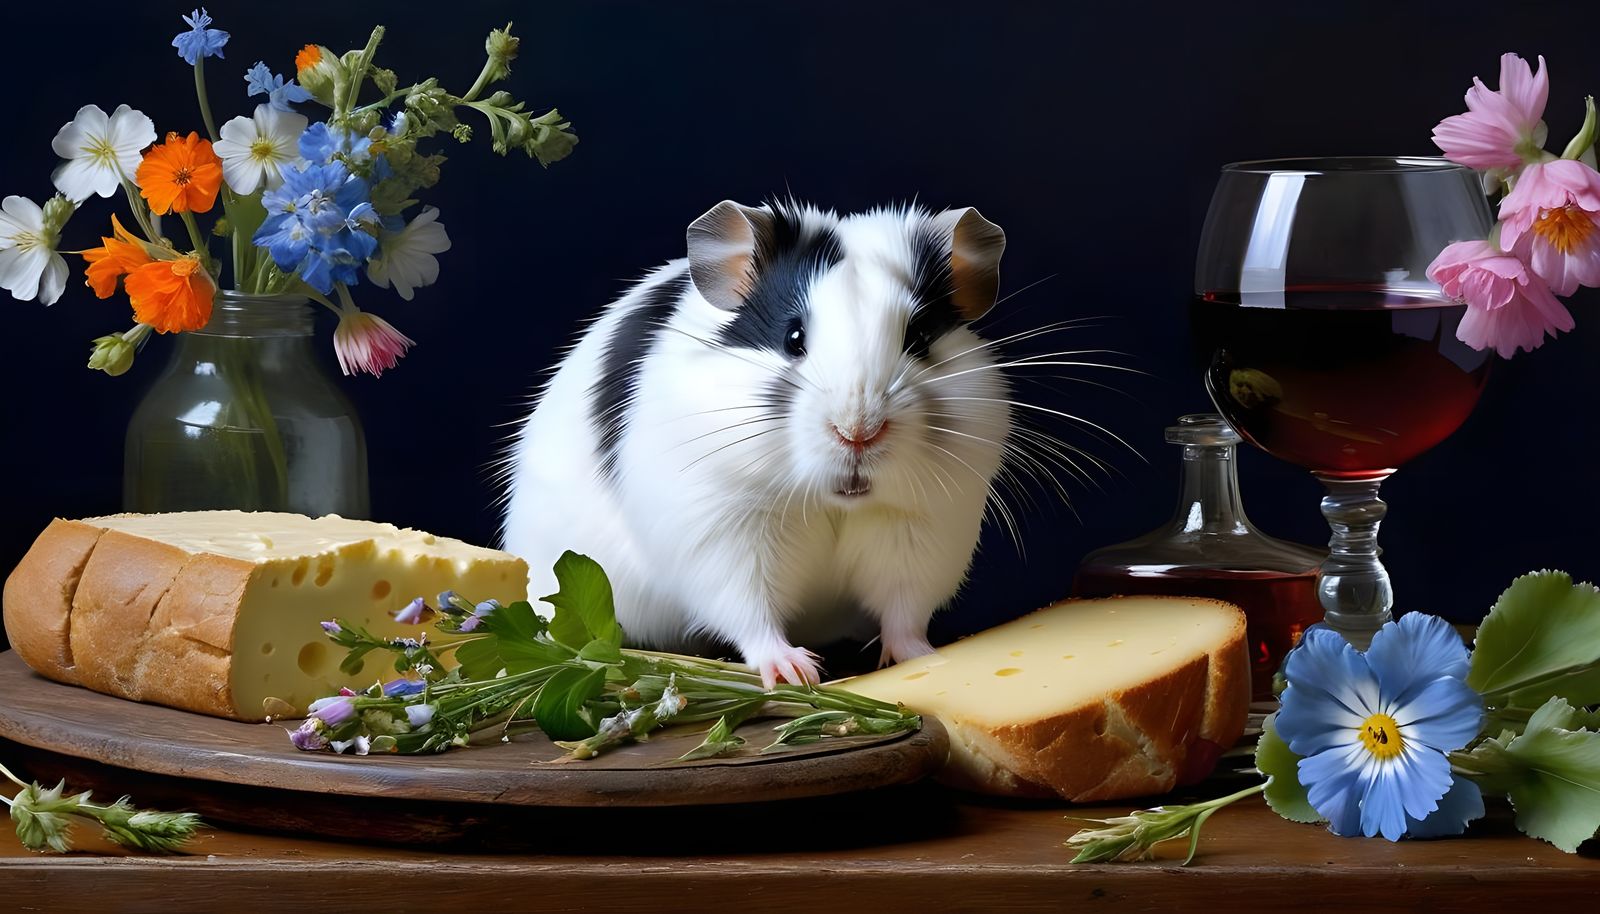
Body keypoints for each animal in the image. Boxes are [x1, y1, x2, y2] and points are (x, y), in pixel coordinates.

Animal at [501, 200, 1011, 687]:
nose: (857, 432)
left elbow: (904, 614)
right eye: (793, 337)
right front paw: (796, 673)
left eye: (919, 336)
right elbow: (751, 613)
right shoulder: (725, 533)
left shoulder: (922, 532)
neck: (834, 501)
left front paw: (930, 661)